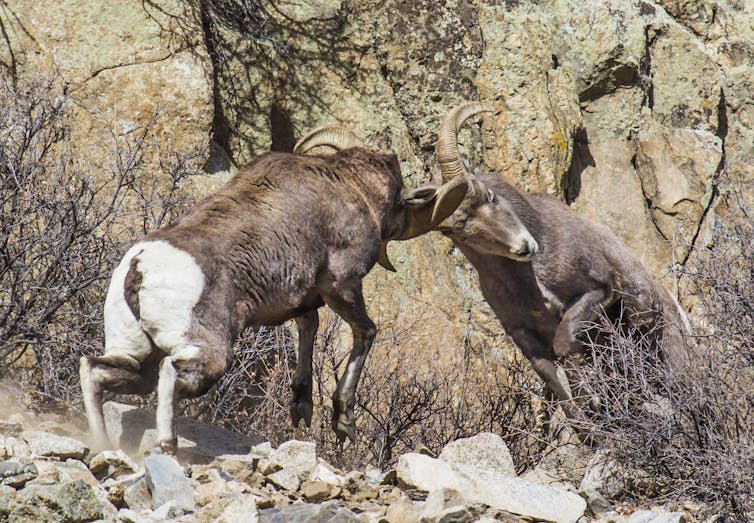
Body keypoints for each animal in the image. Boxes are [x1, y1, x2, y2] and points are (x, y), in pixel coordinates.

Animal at [81, 128, 464, 454]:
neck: (354, 190)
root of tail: (140, 268)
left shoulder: (302, 302)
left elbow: (309, 327)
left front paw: (301, 407)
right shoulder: (342, 284)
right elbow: (365, 332)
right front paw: (344, 421)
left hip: (135, 356)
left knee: (94, 371)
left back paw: (103, 445)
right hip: (207, 354)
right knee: (169, 373)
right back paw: (168, 446)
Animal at [418, 102, 688, 420]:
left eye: (490, 195)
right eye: (458, 229)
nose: (524, 247)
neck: (533, 282)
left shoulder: (598, 291)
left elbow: (564, 347)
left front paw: (591, 398)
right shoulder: (524, 334)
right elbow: (551, 374)